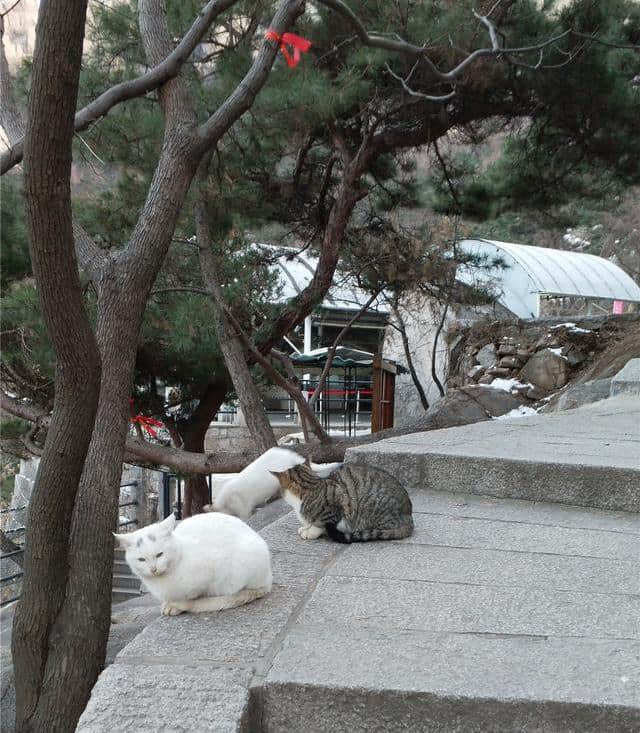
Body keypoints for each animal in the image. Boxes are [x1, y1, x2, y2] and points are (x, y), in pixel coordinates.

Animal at [114, 508, 272, 616]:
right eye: (141, 559)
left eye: (160, 554)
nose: (153, 569)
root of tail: (268, 580)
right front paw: (169, 603)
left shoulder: (209, 573)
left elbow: (194, 596)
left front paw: (177, 605)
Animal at [270, 452, 416, 544]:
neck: (312, 486)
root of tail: (408, 517)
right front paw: (306, 527)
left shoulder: (335, 508)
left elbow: (321, 524)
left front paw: (311, 531)